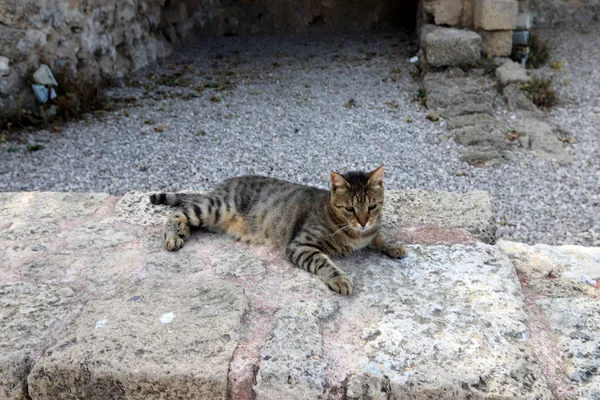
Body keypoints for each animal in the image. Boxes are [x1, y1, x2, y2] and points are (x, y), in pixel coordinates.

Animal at [148, 166, 406, 294]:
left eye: (372, 207)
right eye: (350, 209)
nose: (363, 221)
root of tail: (221, 185)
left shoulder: (371, 229)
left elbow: (378, 236)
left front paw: (392, 246)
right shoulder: (301, 245)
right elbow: (324, 262)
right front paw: (340, 279)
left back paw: (183, 232)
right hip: (215, 207)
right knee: (179, 212)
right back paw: (174, 235)